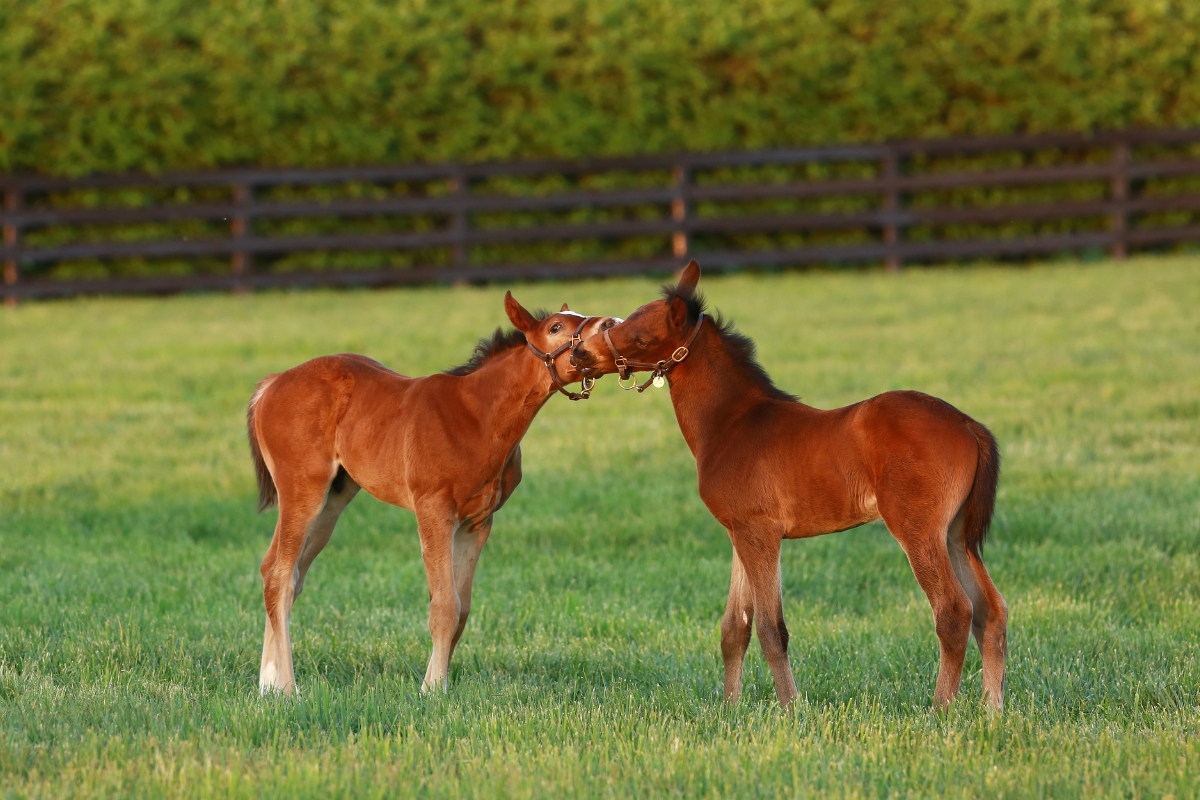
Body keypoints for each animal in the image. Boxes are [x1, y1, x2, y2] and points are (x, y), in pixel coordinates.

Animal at [247, 293, 618, 694]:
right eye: (556, 327)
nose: (610, 324)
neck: (478, 417)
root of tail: (272, 384)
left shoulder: (477, 522)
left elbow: (462, 607)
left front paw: (436, 681)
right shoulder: (434, 511)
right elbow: (444, 606)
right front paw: (433, 691)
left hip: (333, 500)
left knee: (279, 570)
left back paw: (267, 686)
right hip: (303, 490)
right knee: (281, 575)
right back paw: (287, 689)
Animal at [570, 261, 1007, 709]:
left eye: (641, 336)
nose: (580, 354)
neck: (731, 422)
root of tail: (968, 425)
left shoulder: (760, 533)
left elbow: (769, 627)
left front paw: (791, 709)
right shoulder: (740, 533)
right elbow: (735, 627)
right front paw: (729, 709)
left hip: (918, 529)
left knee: (953, 610)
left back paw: (940, 710)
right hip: (955, 534)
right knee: (990, 610)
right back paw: (992, 709)